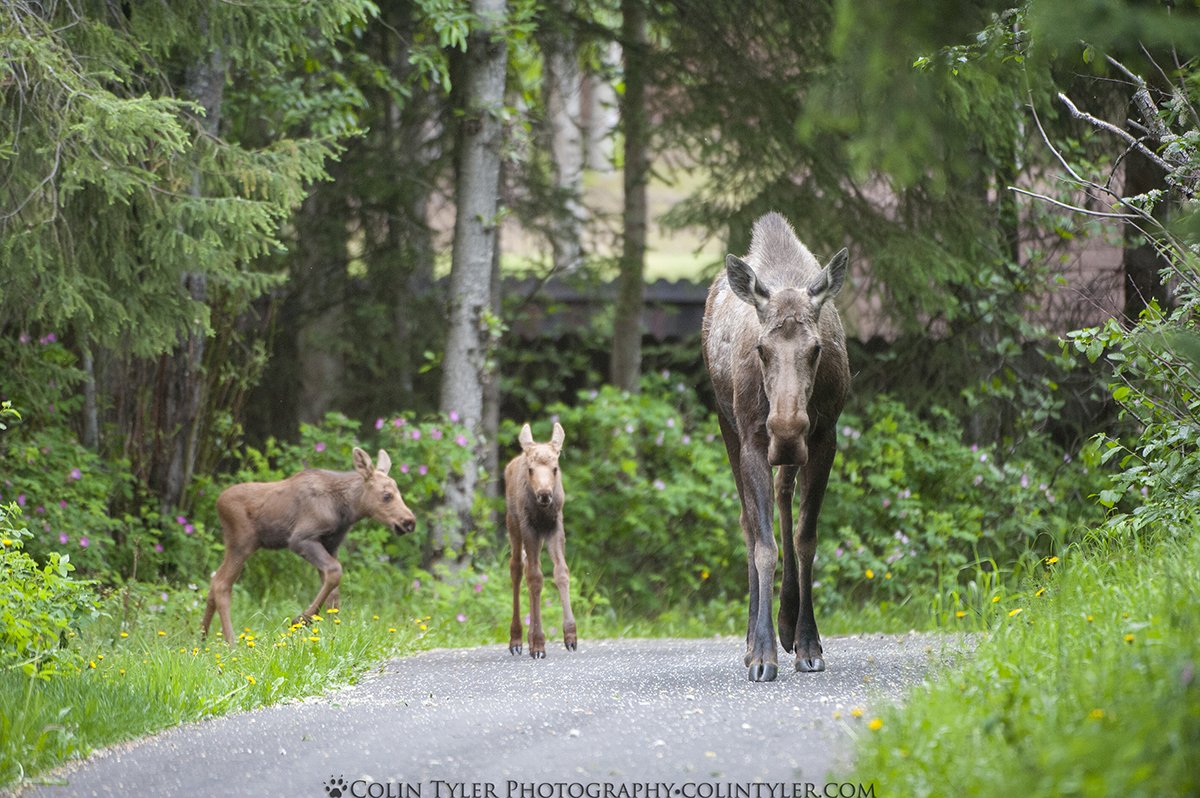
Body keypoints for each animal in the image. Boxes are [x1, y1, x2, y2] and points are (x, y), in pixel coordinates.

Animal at [200, 447, 416, 644]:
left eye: (399, 493)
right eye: (387, 495)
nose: (409, 522)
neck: (347, 511)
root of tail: (218, 503)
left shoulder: (331, 544)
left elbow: (333, 590)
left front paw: (334, 630)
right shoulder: (301, 538)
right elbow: (335, 572)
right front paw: (301, 619)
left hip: (237, 545)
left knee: (215, 580)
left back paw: (202, 640)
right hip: (242, 542)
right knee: (222, 584)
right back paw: (231, 642)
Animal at [505, 422, 577, 658]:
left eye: (555, 468)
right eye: (531, 469)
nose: (544, 494)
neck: (542, 512)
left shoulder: (555, 526)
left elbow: (561, 572)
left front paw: (570, 636)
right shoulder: (529, 527)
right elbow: (536, 578)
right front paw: (538, 643)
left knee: (527, 565)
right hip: (513, 524)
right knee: (517, 568)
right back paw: (517, 640)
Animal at [702, 212, 850, 682]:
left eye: (816, 348)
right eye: (762, 348)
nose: (785, 426)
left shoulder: (824, 438)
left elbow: (805, 539)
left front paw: (807, 642)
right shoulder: (752, 438)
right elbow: (765, 546)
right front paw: (762, 653)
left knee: (784, 498)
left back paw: (787, 622)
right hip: (728, 427)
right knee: (750, 525)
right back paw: (755, 636)